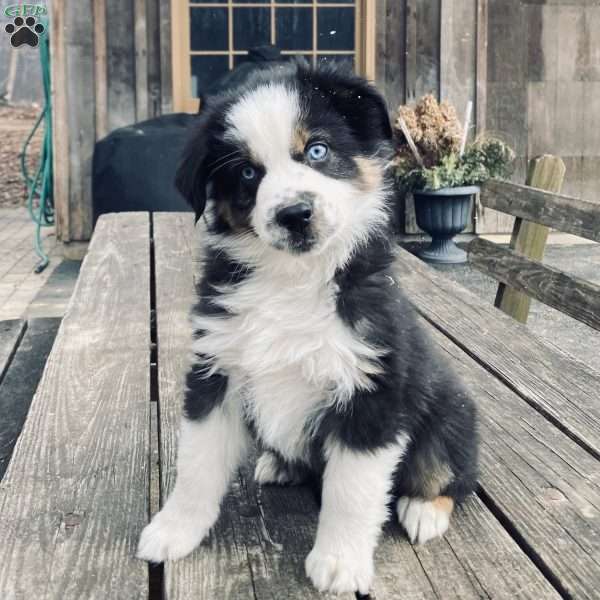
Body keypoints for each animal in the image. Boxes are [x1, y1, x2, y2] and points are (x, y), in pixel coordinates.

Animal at [137, 62, 478, 596]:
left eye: (317, 150)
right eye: (247, 172)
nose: (294, 214)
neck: (291, 280)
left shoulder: (373, 389)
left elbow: (351, 491)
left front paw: (338, 563)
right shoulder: (216, 369)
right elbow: (195, 464)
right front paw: (173, 531)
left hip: (450, 409)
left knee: (451, 472)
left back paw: (425, 510)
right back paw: (280, 463)